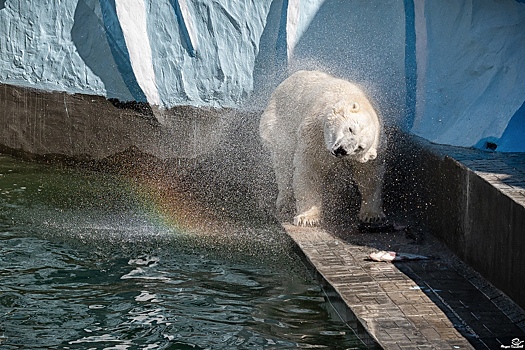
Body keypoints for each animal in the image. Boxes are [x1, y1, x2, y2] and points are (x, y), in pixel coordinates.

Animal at [258, 69, 384, 227]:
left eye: (360, 147)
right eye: (351, 129)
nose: (342, 149)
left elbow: (369, 174)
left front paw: (372, 215)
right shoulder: (315, 131)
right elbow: (310, 167)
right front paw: (307, 218)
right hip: (280, 124)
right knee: (284, 163)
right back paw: (286, 202)